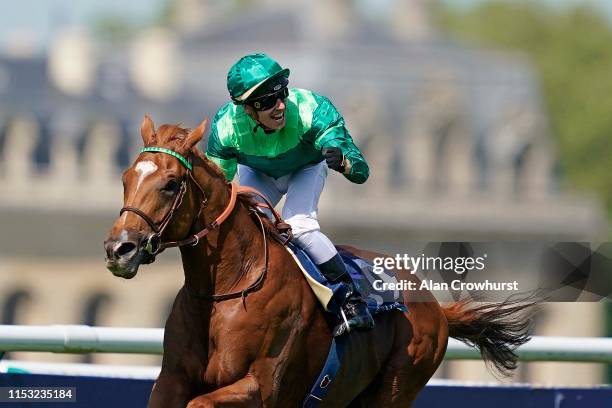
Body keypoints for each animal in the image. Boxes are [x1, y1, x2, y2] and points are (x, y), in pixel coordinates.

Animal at [106, 116, 536, 406]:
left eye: (171, 184)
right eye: (126, 178)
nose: (118, 248)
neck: (228, 288)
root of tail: (435, 307)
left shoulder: (260, 386)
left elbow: (203, 401)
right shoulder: (171, 380)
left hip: (397, 386)